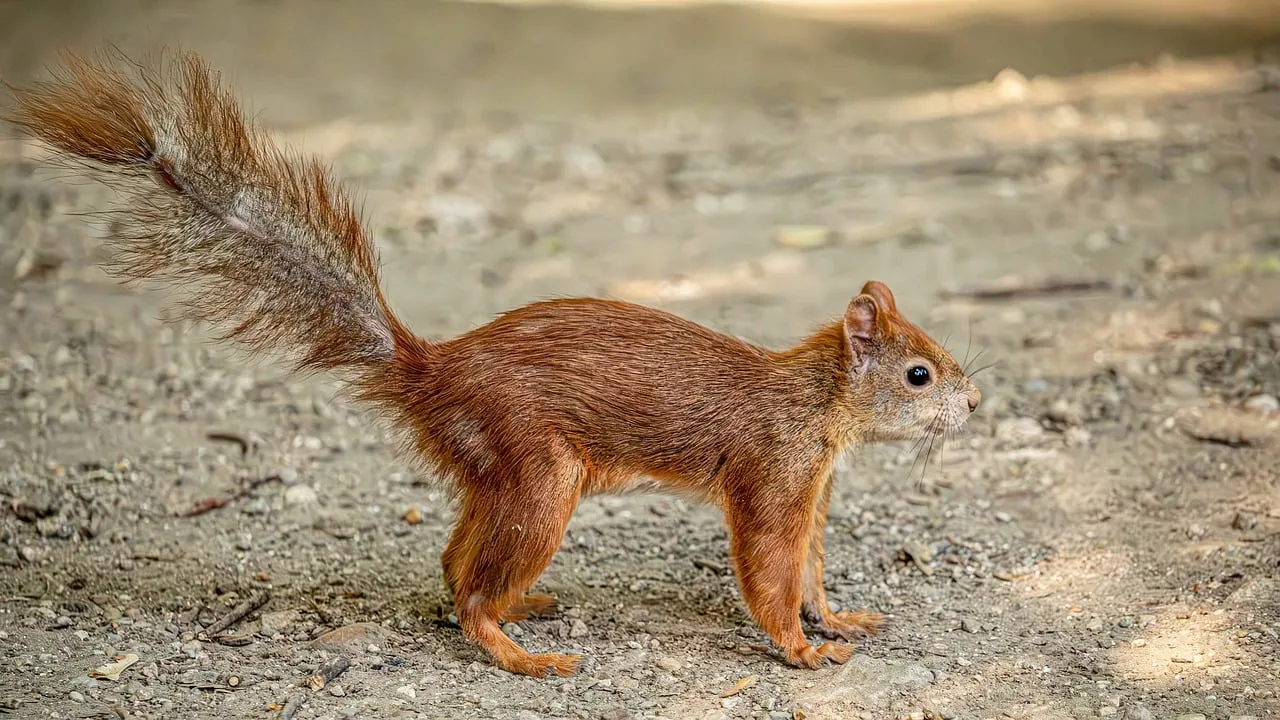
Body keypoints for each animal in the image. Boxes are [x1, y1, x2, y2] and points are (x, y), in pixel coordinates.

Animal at [5, 50, 982, 678]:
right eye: (919, 375)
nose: (975, 405)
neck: (817, 404)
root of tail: (430, 368)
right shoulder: (774, 477)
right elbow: (772, 573)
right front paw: (805, 649)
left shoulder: (812, 488)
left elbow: (809, 567)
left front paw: (838, 615)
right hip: (539, 473)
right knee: (467, 593)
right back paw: (523, 654)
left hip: (499, 471)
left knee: (451, 564)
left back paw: (522, 608)